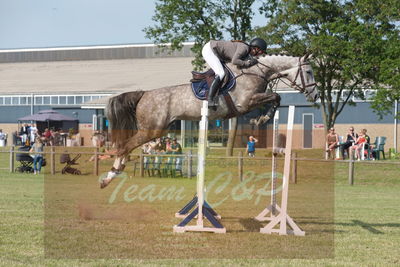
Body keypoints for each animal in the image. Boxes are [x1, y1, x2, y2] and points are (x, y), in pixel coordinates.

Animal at [101, 54, 318, 188]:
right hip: (152, 130)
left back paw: (115, 171)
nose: (314, 95)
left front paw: (262, 118)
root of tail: (144, 94)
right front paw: (262, 118)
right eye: (308, 72)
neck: (256, 72)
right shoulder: (246, 103)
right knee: (124, 146)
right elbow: (275, 97)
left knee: (125, 146)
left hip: (155, 130)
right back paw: (109, 177)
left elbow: (275, 99)